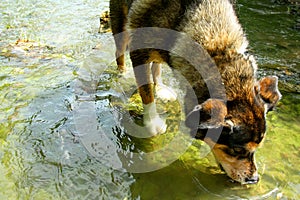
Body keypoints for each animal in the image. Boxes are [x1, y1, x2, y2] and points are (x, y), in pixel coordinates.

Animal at [109, 0, 282, 184]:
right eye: (236, 150)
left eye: (257, 148)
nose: (254, 179)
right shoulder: (139, 51)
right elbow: (146, 91)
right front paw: (152, 123)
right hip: (120, 24)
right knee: (120, 52)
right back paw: (121, 74)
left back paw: (161, 88)